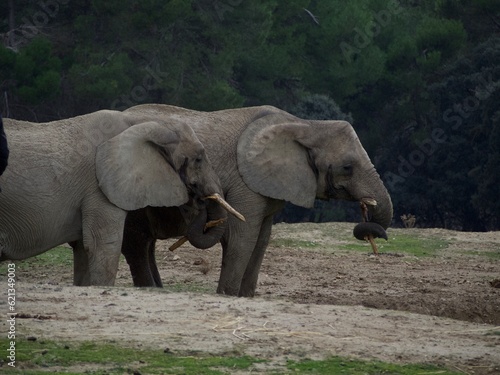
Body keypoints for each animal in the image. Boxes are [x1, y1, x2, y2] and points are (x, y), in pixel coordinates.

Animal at [0, 110, 240, 286]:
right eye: (198, 159)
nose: (199, 199)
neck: (143, 123)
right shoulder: (101, 187)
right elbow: (103, 245)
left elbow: (83, 249)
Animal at [119, 104, 392, 298]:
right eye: (347, 167)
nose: (367, 215)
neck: (306, 125)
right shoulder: (246, 182)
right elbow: (244, 236)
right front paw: (227, 295)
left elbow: (261, 240)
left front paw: (245, 297)